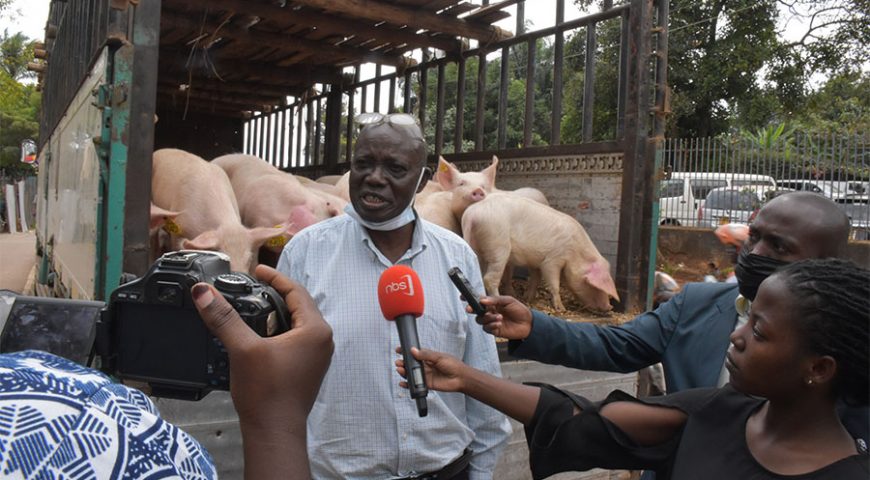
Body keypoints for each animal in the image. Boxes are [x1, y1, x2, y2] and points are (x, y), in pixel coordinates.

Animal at [464, 191, 620, 312]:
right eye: (595, 287)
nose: (610, 307)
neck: (575, 252)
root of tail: (471, 214)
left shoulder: (536, 261)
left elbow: (536, 278)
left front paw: (528, 298)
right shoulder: (553, 259)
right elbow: (553, 282)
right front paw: (561, 309)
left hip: (479, 248)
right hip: (498, 245)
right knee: (489, 278)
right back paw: (501, 299)